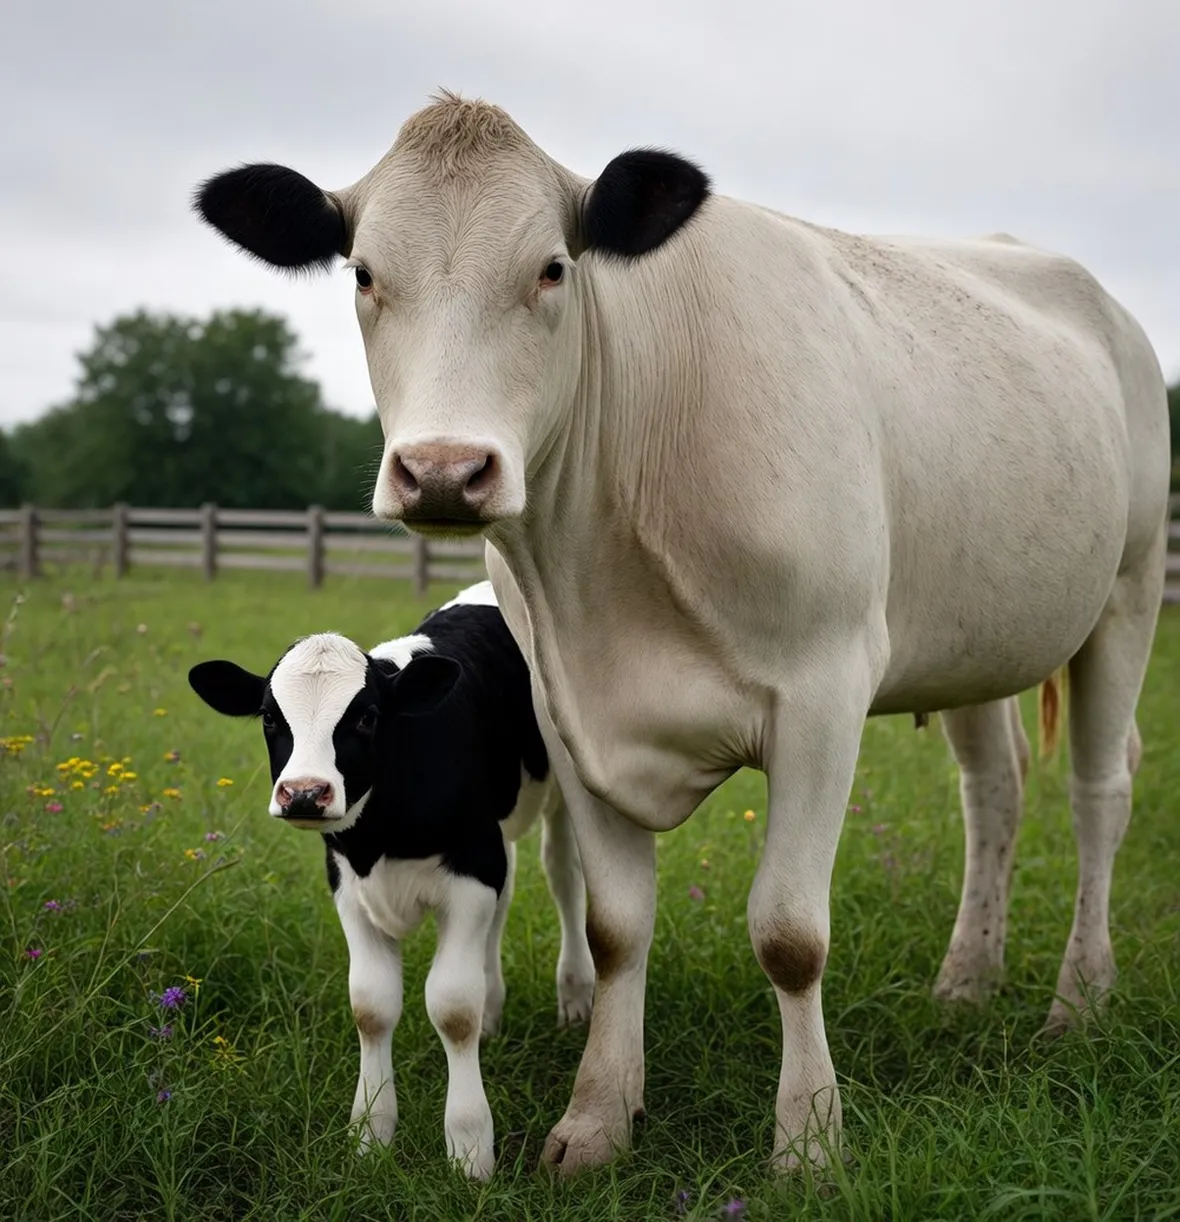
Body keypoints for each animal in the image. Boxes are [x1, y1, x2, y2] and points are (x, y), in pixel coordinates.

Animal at [187, 582, 595, 1180]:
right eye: (268, 717)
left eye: (366, 717)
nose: (304, 793)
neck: (381, 837)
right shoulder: (349, 885)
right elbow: (371, 1006)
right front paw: (369, 1135)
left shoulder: (471, 870)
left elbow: (452, 1008)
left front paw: (469, 1149)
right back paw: (495, 1008)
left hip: (560, 794)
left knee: (564, 877)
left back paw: (576, 995)